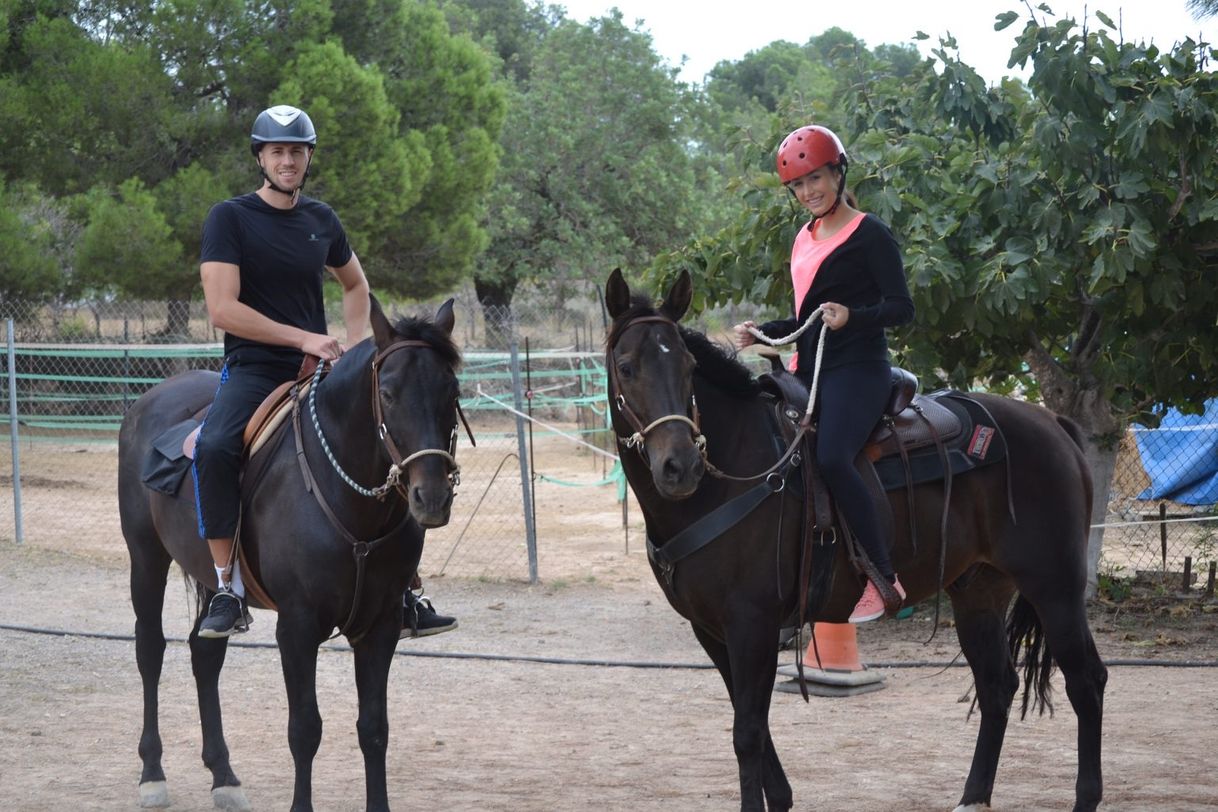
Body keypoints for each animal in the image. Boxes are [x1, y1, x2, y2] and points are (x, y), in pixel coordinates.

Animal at [117, 298, 460, 812]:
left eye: (451, 389)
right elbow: (305, 730)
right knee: (150, 651)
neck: (346, 496)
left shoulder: (380, 627)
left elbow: (374, 729)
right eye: (388, 392)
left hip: (212, 580)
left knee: (204, 652)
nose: (431, 496)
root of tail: (147, 401)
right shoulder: (297, 628)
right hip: (146, 559)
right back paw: (152, 774)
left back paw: (224, 776)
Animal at [604, 271, 1110, 812]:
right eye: (626, 367)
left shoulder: (752, 626)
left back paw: (1084, 797)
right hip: (979, 592)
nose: (680, 467)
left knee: (1086, 681)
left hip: (1055, 587)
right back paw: (972, 797)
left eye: (689, 366)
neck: (736, 473)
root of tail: (1052, 424)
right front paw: (781, 797)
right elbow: (752, 724)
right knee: (997, 684)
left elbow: (747, 733)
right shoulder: (712, 630)